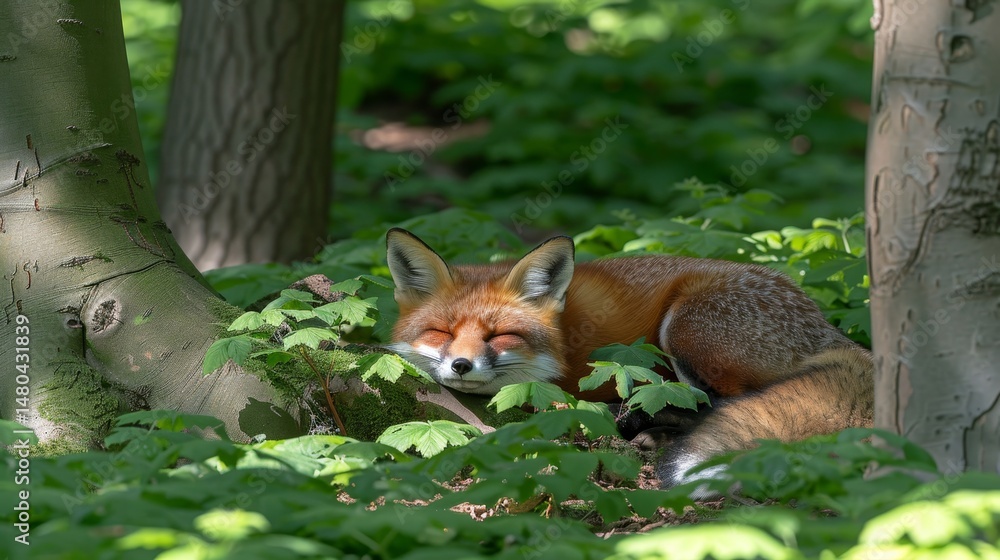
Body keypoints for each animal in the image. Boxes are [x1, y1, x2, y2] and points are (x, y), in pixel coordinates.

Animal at [385, 227, 874, 491]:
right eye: (442, 333)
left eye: (500, 336)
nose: (461, 365)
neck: (566, 341)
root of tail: (825, 324)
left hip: (687, 327)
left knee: (717, 402)